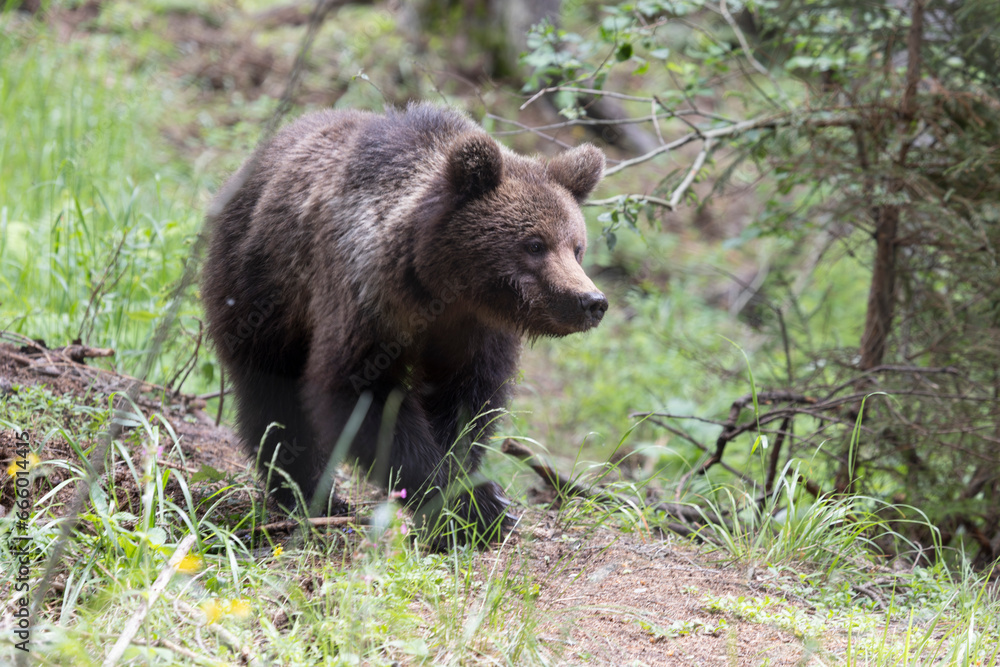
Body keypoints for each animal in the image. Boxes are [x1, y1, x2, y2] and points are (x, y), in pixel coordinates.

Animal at [202, 102, 604, 544]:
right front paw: (468, 507)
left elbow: (466, 401)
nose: (591, 301)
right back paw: (311, 496)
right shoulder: (366, 295)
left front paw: (469, 494)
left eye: (577, 247)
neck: (442, 286)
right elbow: (362, 394)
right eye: (535, 244)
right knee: (272, 393)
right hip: (262, 286)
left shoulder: (474, 330)